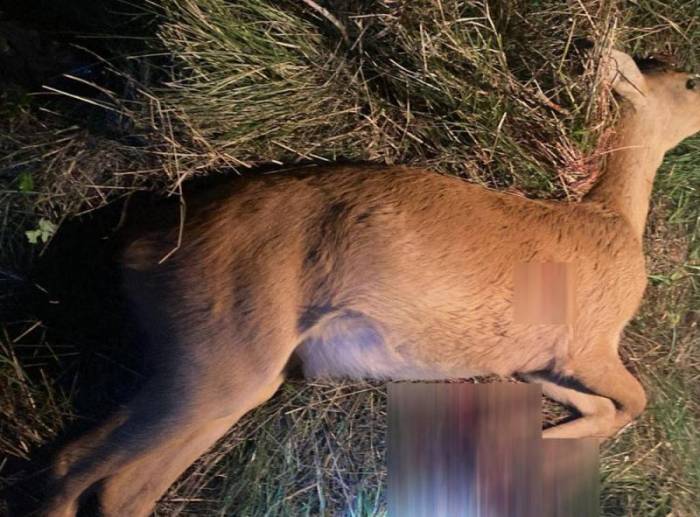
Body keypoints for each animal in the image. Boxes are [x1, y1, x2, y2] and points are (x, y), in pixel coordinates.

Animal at [42, 48, 700, 516]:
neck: (612, 218)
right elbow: (633, 401)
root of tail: (137, 246)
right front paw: (556, 445)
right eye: (690, 82)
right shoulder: (589, 342)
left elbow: (599, 403)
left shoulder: (534, 362)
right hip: (222, 353)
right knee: (77, 468)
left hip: (227, 368)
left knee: (114, 483)